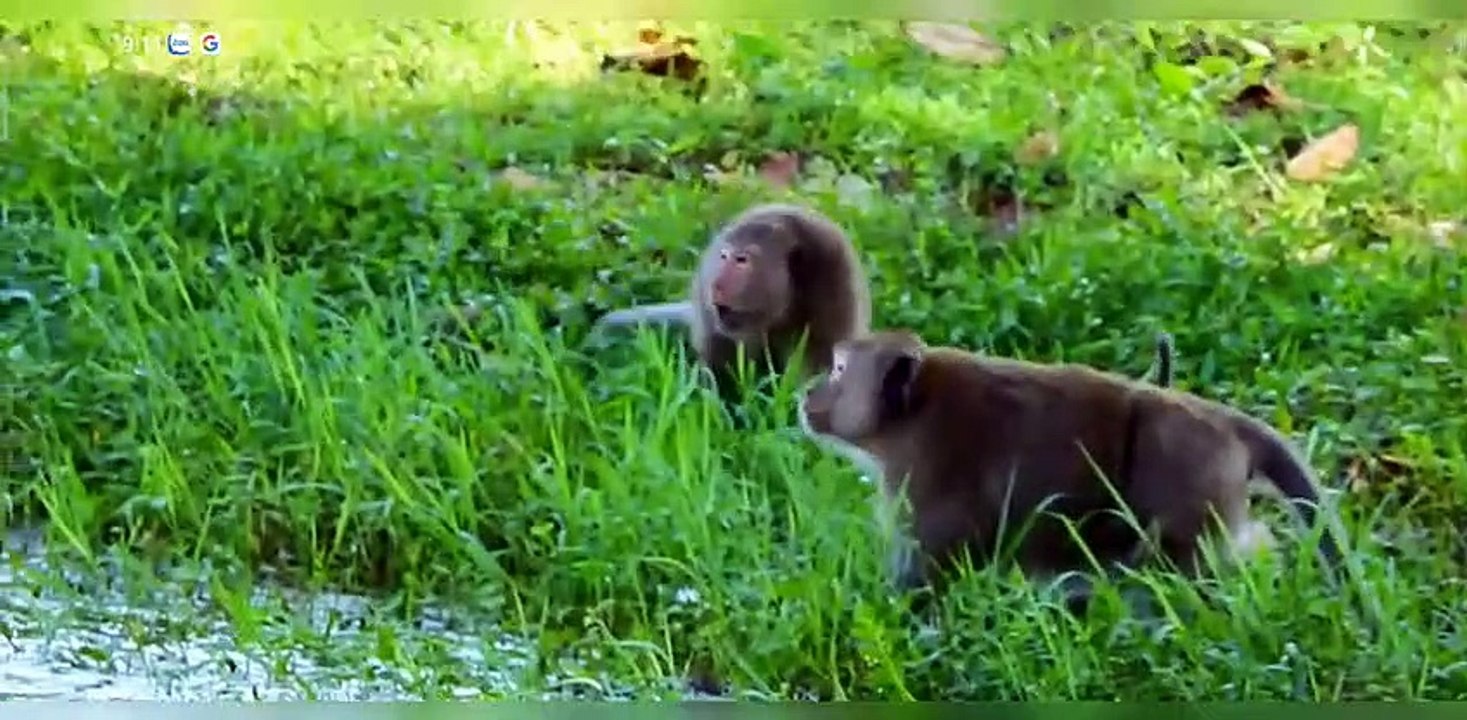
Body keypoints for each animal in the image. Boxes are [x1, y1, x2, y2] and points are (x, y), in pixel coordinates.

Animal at [796, 329, 1344, 606]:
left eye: (839, 369)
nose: (808, 393)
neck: (913, 412)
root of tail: (1225, 423)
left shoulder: (925, 481)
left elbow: (923, 576)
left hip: (1189, 477)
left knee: (1170, 564)